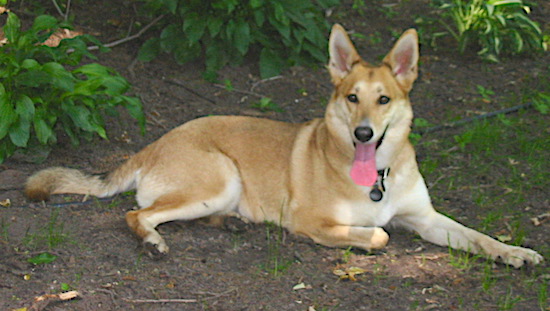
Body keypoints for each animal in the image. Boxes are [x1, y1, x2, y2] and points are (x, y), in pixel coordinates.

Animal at [24, 24, 544, 268]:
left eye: (383, 100)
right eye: (351, 97)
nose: (363, 133)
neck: (377, 175)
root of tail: (152, 144)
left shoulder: (428, 219)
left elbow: (477, 236)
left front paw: (515, 253)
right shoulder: (314, 221)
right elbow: (379, 235)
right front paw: (367, 237)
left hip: (221, 191)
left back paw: (232, 224)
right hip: (219, 178)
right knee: (137, 214)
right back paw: (154, 241)